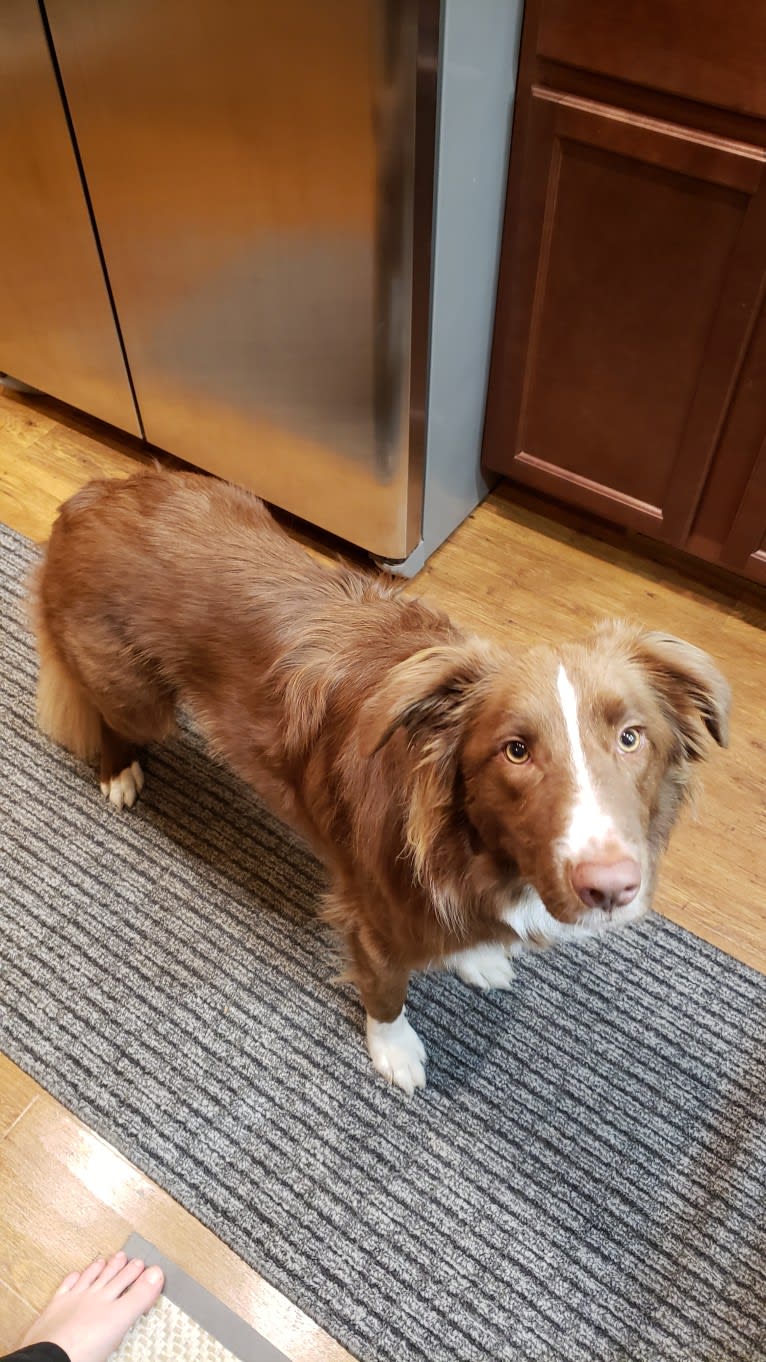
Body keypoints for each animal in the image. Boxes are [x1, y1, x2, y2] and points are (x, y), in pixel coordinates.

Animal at [31, 473, 725, 1089]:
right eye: (516, 751)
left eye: (630, 738)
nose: (609, 888)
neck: (475, 849)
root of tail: (90, 494)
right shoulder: (373, 920)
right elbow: (387, 991)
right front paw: (395, 1050)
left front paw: (476, 957)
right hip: (136, 697)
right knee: (105, 713)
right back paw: (119, 772)